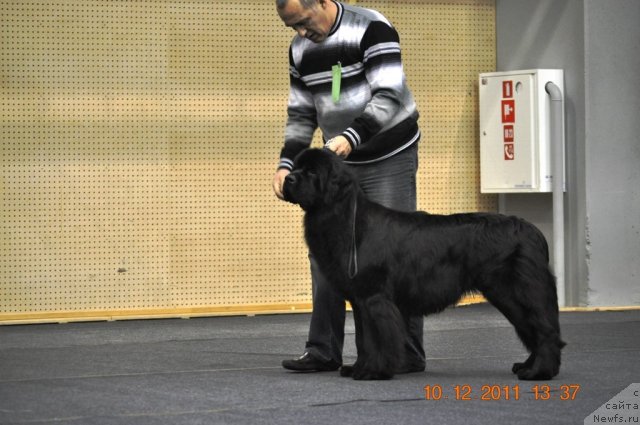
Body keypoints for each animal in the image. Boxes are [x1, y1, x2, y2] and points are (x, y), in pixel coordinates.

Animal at [282, 148, 564, 380]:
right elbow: (363, 338)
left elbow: (376, 338)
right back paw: (528, 366)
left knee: (544, 330)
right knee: (532, 329)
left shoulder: (375, 297)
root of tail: (531, 230)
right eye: (295, 167)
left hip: (516, 291)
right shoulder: (360, 300)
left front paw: (373, 371)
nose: (288, 179)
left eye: (312, 172)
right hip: (507, 295)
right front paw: (359, 368)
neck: (345, 217)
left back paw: (538, 373)